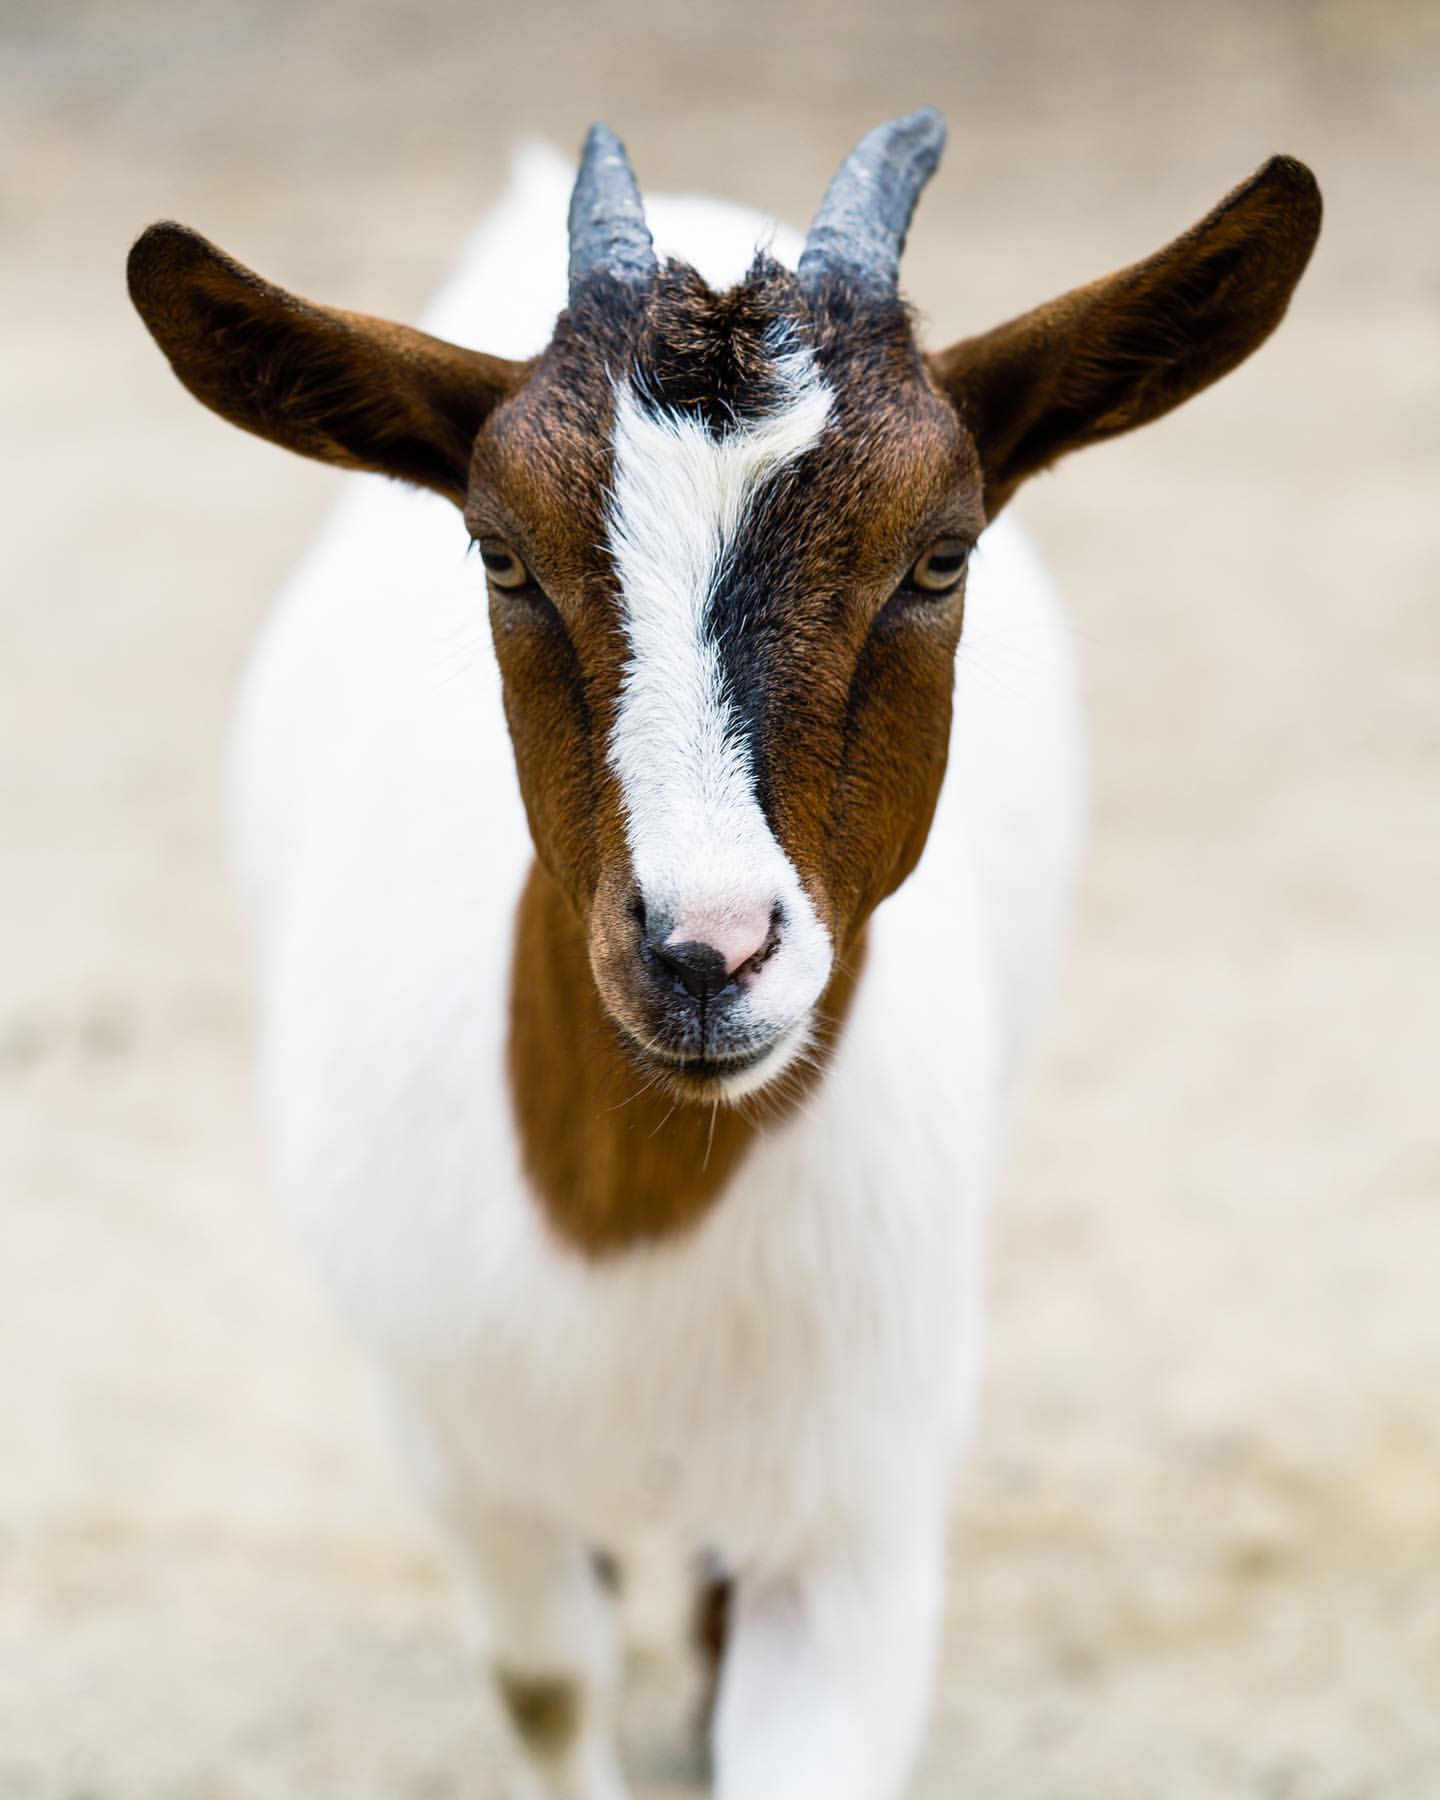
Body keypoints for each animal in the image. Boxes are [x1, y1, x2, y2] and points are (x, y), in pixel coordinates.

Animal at [128, 111, 1320, 1800]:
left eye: (941, 556)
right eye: (499, 553)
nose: (708, 953)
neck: (626, 1229)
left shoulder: (857, 1517)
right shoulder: (461, 1463)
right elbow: (548, 1687)